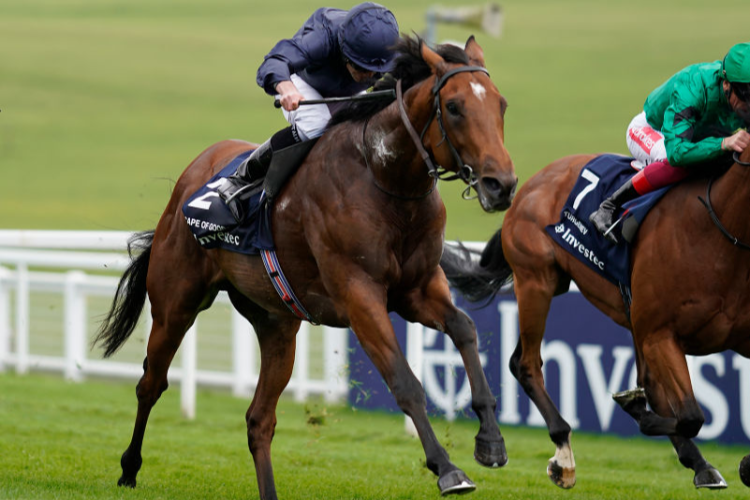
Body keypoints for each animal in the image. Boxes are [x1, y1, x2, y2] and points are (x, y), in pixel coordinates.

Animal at [94, 36, 520, 500]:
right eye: (455, 107)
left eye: (501, 105)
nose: (501, 185)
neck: (383, 177)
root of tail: (188, 180)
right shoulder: (359, 294)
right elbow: (404, 381)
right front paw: (447, 468)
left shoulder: (418, 289)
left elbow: (463, 328)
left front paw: (491, 441)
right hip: (176, 304)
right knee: (151, 383)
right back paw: (128, 469)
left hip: (277, 323)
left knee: (259, 420)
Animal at [440, 147, 750, 488]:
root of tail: (530, 183)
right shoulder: (659, 333)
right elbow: (691, 416)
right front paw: (637, 411)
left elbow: (682, 410)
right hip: (537, 280)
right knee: (525, 363)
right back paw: (564, 452)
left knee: (650, 384)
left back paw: (698, 461)